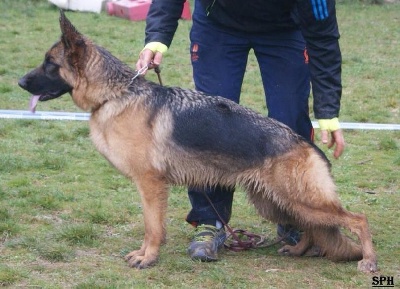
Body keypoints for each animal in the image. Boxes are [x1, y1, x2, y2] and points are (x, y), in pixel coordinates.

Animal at [17, 11, 376, 272]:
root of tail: (307, 143)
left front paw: (148, 258)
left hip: (297, 199)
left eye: (50, 64)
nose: (19, 82)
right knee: (312, 226)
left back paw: (368, 260)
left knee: (357, 219)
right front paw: (145, 254)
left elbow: (153, 227)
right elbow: (150, 226)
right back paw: (299, 249)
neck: (115, 95)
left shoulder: (150, 185)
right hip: (276, 201)